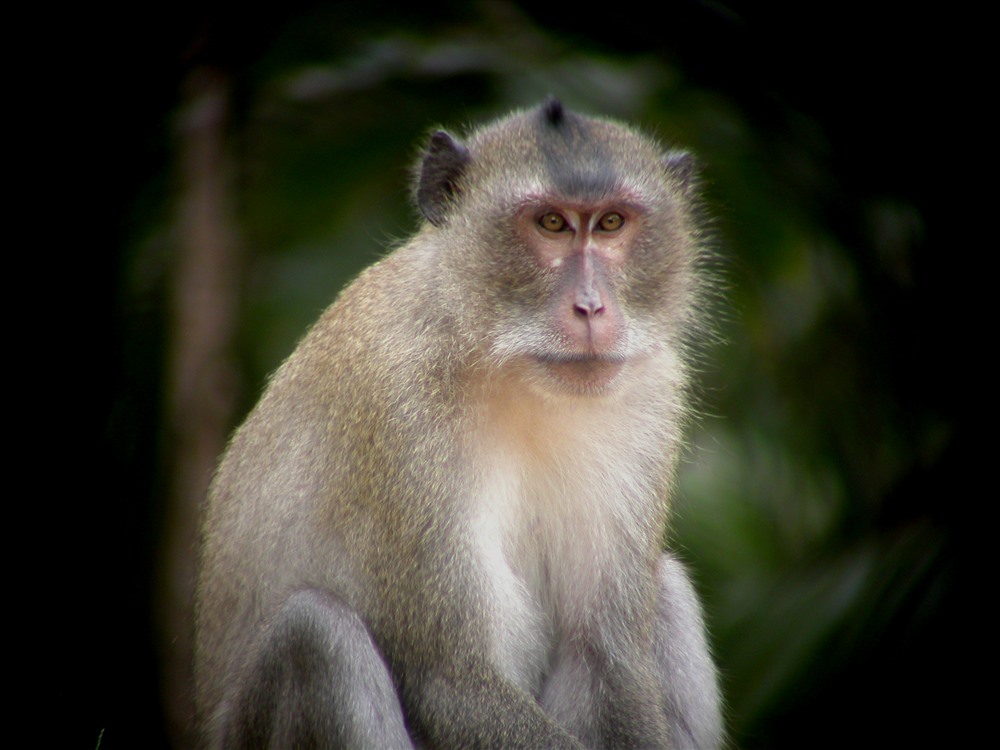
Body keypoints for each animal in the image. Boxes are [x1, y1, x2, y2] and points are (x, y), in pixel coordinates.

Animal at [195, 100, 724, 750]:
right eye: (551, 224)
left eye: (610, 224)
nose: (592, 307)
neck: (502, 364)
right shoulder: (395, 405)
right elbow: (454, 685)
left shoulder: (652, 392)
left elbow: (606, 664)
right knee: (315, 637)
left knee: (664, 585)